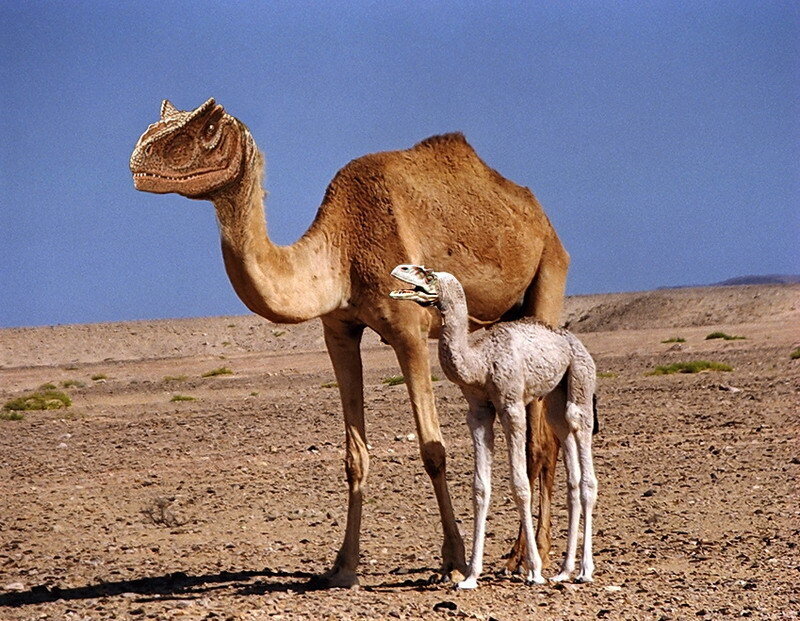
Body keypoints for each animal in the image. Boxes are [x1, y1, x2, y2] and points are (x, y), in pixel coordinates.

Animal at [129, 98, 569, 586]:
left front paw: (453, 560)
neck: (343, 252)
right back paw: (521, 554)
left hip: (549, 272)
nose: (139, 160)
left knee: (539, 443)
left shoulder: (409, 331)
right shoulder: (338, 331)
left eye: (206, 127)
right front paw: (341, 567)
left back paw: (528, 557)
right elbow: (354, 456)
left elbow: (433, 450)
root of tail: (539, 213)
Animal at [390, 265, 598, 588]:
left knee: (583, 452)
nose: (399, 268)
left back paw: (585, 571)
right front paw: (470, 576)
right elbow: (480, 488)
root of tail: (574, 342)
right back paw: (564, 570)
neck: (481, 362)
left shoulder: (511, 404)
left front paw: (533, 570)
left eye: (427, 274)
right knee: (568, 459)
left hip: (580, 377)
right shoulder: (478, 412)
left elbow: (520, 484)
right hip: (554, 396)